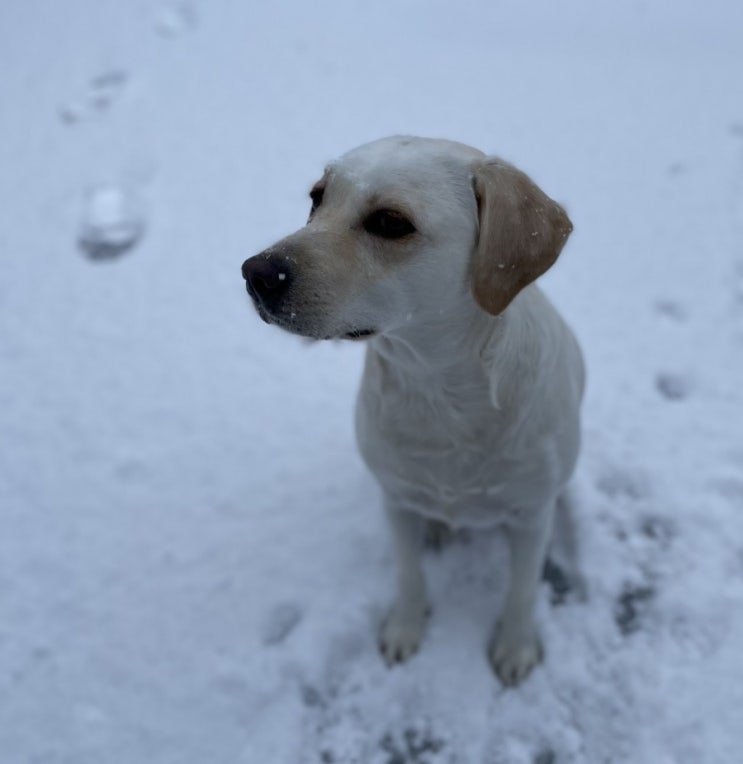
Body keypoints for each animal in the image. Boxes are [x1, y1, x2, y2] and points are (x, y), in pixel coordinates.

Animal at [241, 137, 584, 688]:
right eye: (317, 197)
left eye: (390, 222)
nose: (256, 273)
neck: (437, 390)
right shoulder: (395, 500)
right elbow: (409, 572)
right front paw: (405, 628)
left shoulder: (531, 516)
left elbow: (522, 588)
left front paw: (515, 645)